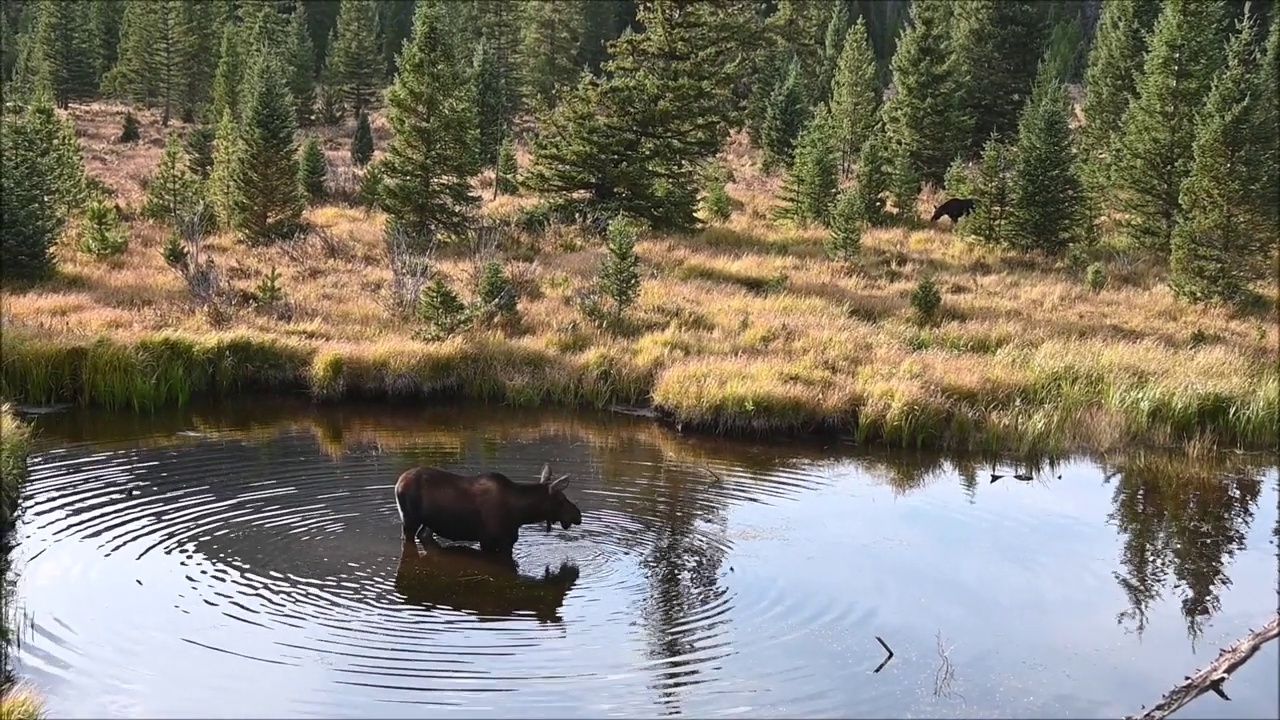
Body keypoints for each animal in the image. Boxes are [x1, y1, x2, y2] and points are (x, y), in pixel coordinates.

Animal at [394, 458, 586, 556]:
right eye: (562, 499)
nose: (578, 515)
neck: (521, 514)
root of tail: (398, 484)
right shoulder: (490, 540)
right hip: (409, 520)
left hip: (429, 523)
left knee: (423, 535)